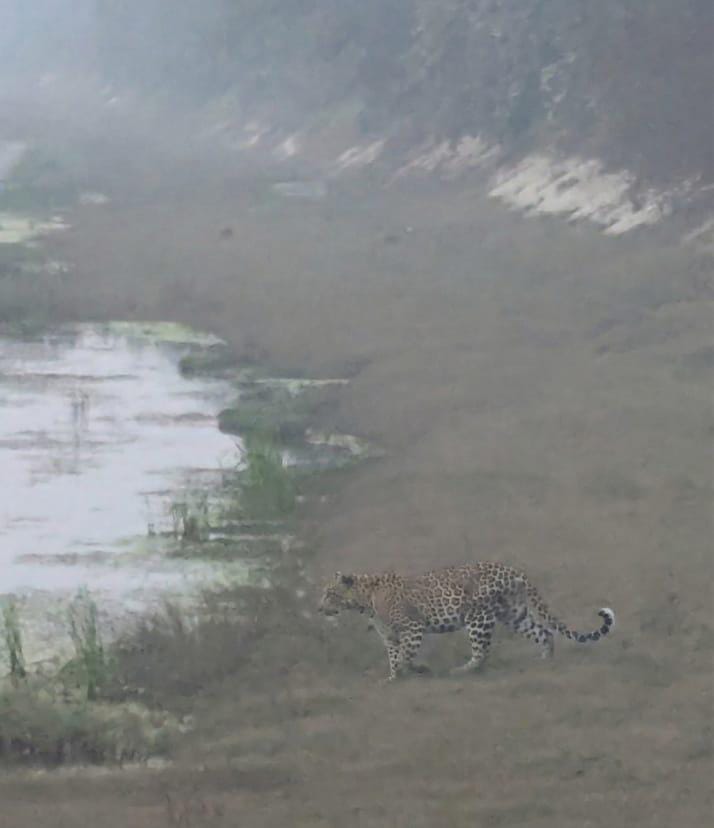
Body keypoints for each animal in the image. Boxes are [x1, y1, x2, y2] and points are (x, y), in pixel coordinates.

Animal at [318, 561, 615, 681]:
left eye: (330, 593)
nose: (319, 609)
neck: (365, 601)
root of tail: (511, 570)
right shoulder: (390, 636)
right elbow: (394, 658)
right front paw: (392, 679)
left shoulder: (413, 628)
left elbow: (405, 656)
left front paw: (419, 670)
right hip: (513, 614)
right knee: (544, 632)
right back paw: (545, 660)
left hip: (477, 617)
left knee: (481, 651)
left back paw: (461, 671)